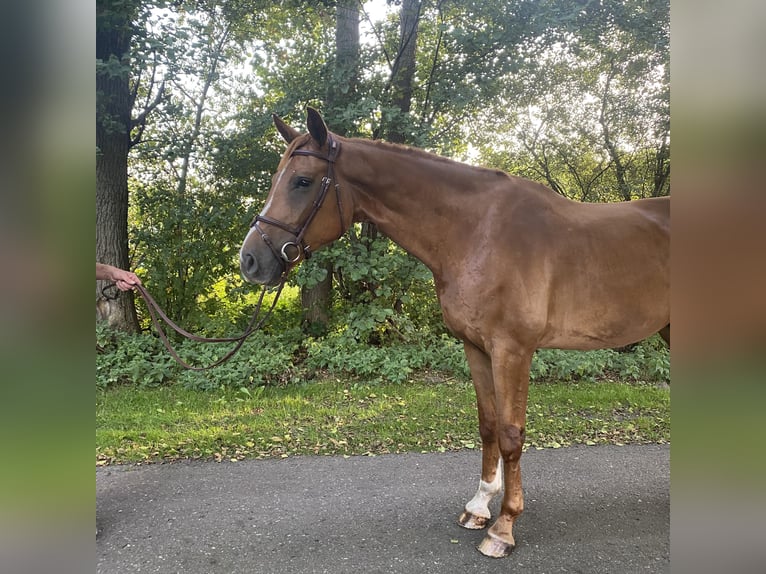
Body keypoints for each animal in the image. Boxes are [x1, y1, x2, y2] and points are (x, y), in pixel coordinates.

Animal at [237, 108, 668, 560]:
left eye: (302, 181)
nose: (250, 260)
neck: (478, 232)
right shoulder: (475, 346)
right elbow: (488, 424)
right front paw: (479, 506)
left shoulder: (513, 350)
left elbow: (511, 435)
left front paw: (504, 526)